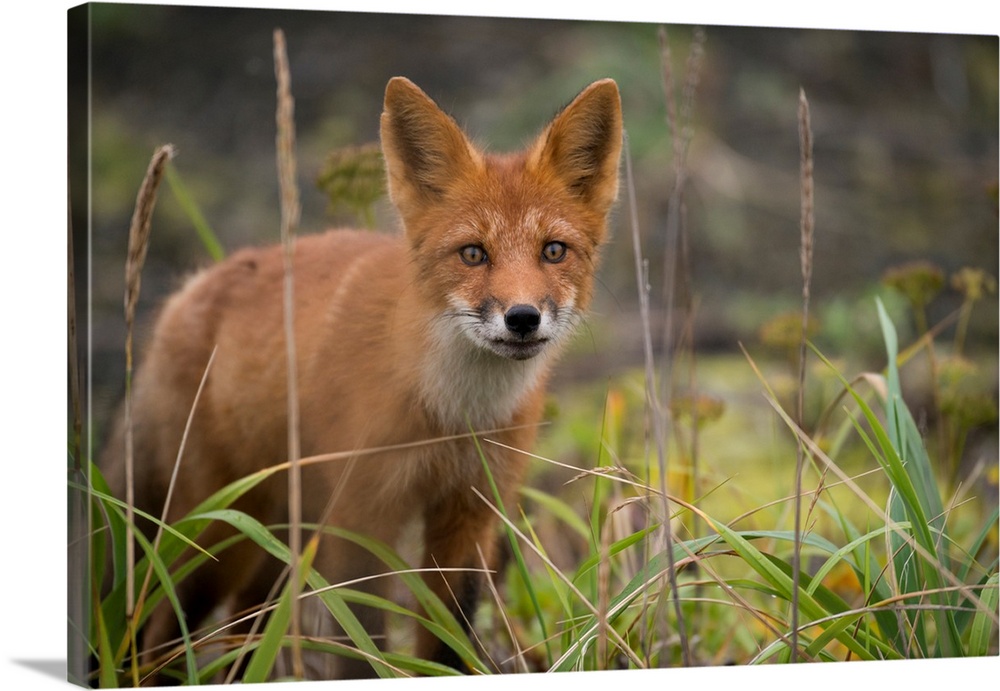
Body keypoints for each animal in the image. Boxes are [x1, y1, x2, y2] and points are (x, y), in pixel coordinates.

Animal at [101, 77, 616, 680]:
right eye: (473, 254)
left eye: (553, 251)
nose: (523, 317)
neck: (449, 415)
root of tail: (186, 293)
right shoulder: (362, 517)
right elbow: (362, 647)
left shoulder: (471, 515)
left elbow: (447, 643)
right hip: (219, 535)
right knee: (159, 634)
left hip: (275, 548)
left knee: (238, 638)